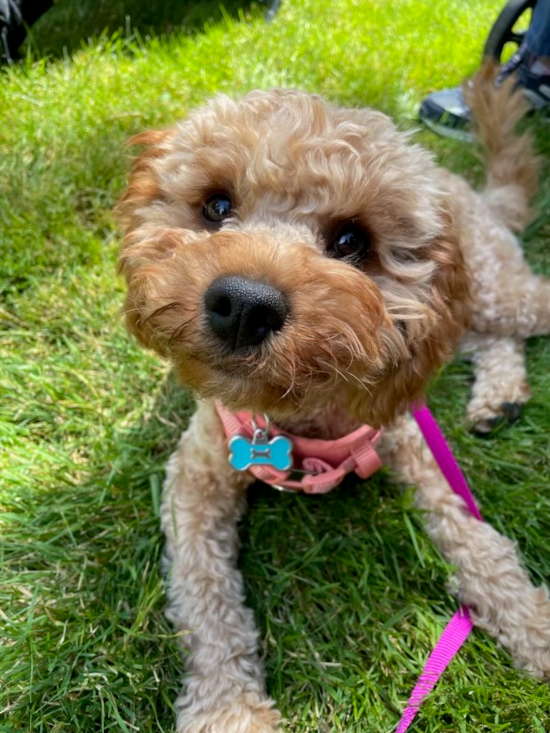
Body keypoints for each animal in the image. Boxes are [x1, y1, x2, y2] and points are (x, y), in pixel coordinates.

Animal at [117, 70, 550, 732]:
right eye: (216, 206)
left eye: (352, 240)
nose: (244, 304)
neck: (297, 414)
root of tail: (467, 191)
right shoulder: (195, 480)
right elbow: (205, 599)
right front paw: (228, 709)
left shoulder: (412, 445)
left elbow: (481, 545)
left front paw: (532, 622)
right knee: (489, 342)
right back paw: (497, 398)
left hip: (494, 290)